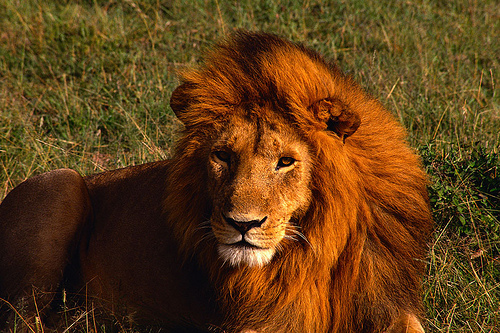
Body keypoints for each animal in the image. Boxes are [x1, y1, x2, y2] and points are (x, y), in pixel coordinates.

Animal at [0, 30, 434, 330]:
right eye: (223, 155)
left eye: (286, 162)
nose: (243, 225)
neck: (318, 245)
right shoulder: (257, 319)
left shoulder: (383, 301)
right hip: (60, 183)